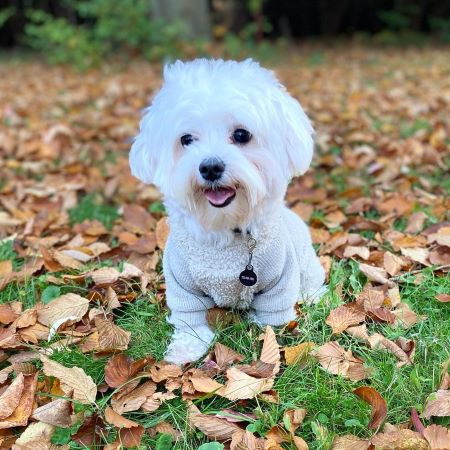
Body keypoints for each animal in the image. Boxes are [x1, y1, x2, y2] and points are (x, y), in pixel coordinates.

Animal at [128, 58, 326, 364]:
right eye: (186, 139)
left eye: (242, 134)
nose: (210, 167)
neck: (226, 232)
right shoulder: (181, 285)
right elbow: (190, 321)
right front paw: (185, 349)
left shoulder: (280, 283)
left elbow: (273, 319)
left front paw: (271, 345)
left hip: (305, 264)